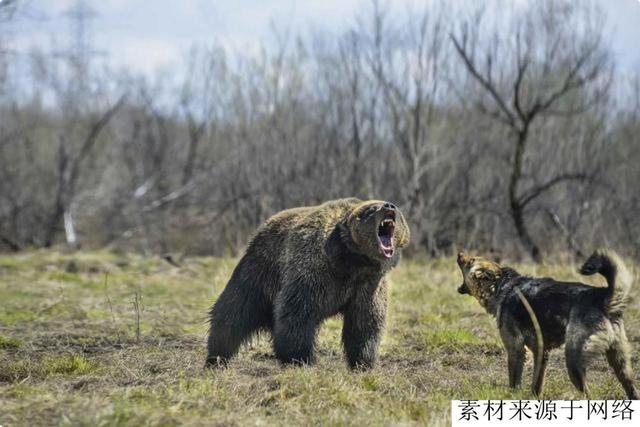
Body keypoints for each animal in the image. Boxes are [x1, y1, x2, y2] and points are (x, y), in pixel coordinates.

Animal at [208, 199, 412, 370]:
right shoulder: (314, 272)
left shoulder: (369, 285)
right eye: (371, 209)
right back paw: (216, 357)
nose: (389, 206)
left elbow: (365, 321)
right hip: (260, 270)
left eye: (393, 206)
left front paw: (364, 361)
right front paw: (299, 357)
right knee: (233, 313)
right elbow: (297, 313)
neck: (351, 261)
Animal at [458, 249, 636, 400]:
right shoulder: (541, 351)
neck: (502, 287)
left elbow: (514, 381)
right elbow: (536, 384)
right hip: (621, 366)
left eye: (471, 261)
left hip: (574, 362)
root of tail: (603, 296)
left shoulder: (515, 349)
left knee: (589, 395)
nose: (459, 253)